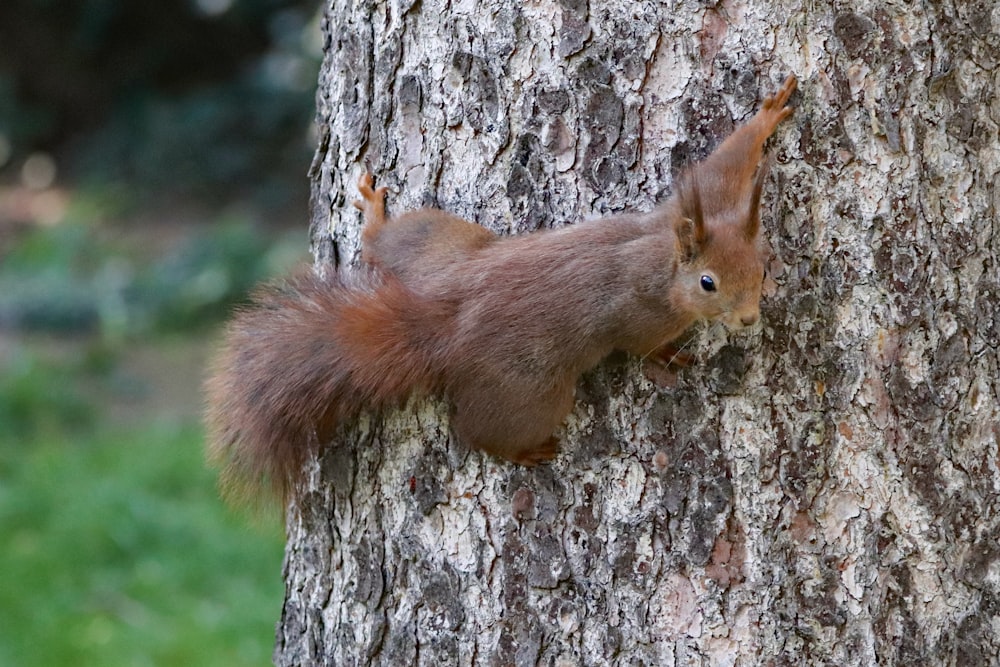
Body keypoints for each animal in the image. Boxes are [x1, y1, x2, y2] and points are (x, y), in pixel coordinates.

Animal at [205, 75, 796, 504]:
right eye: (708, 283)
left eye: (763, 267)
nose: (749, 319)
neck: (662, 258)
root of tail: (447, 322)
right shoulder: (641, 310)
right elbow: (640, 344)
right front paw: (671, 356)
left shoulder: (699, 204)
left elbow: (725, 167)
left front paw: (768, 114)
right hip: (530, 392)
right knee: (475, 430)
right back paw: (521, 452)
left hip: (437, 248)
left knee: (381, 244)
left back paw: (373, 216)